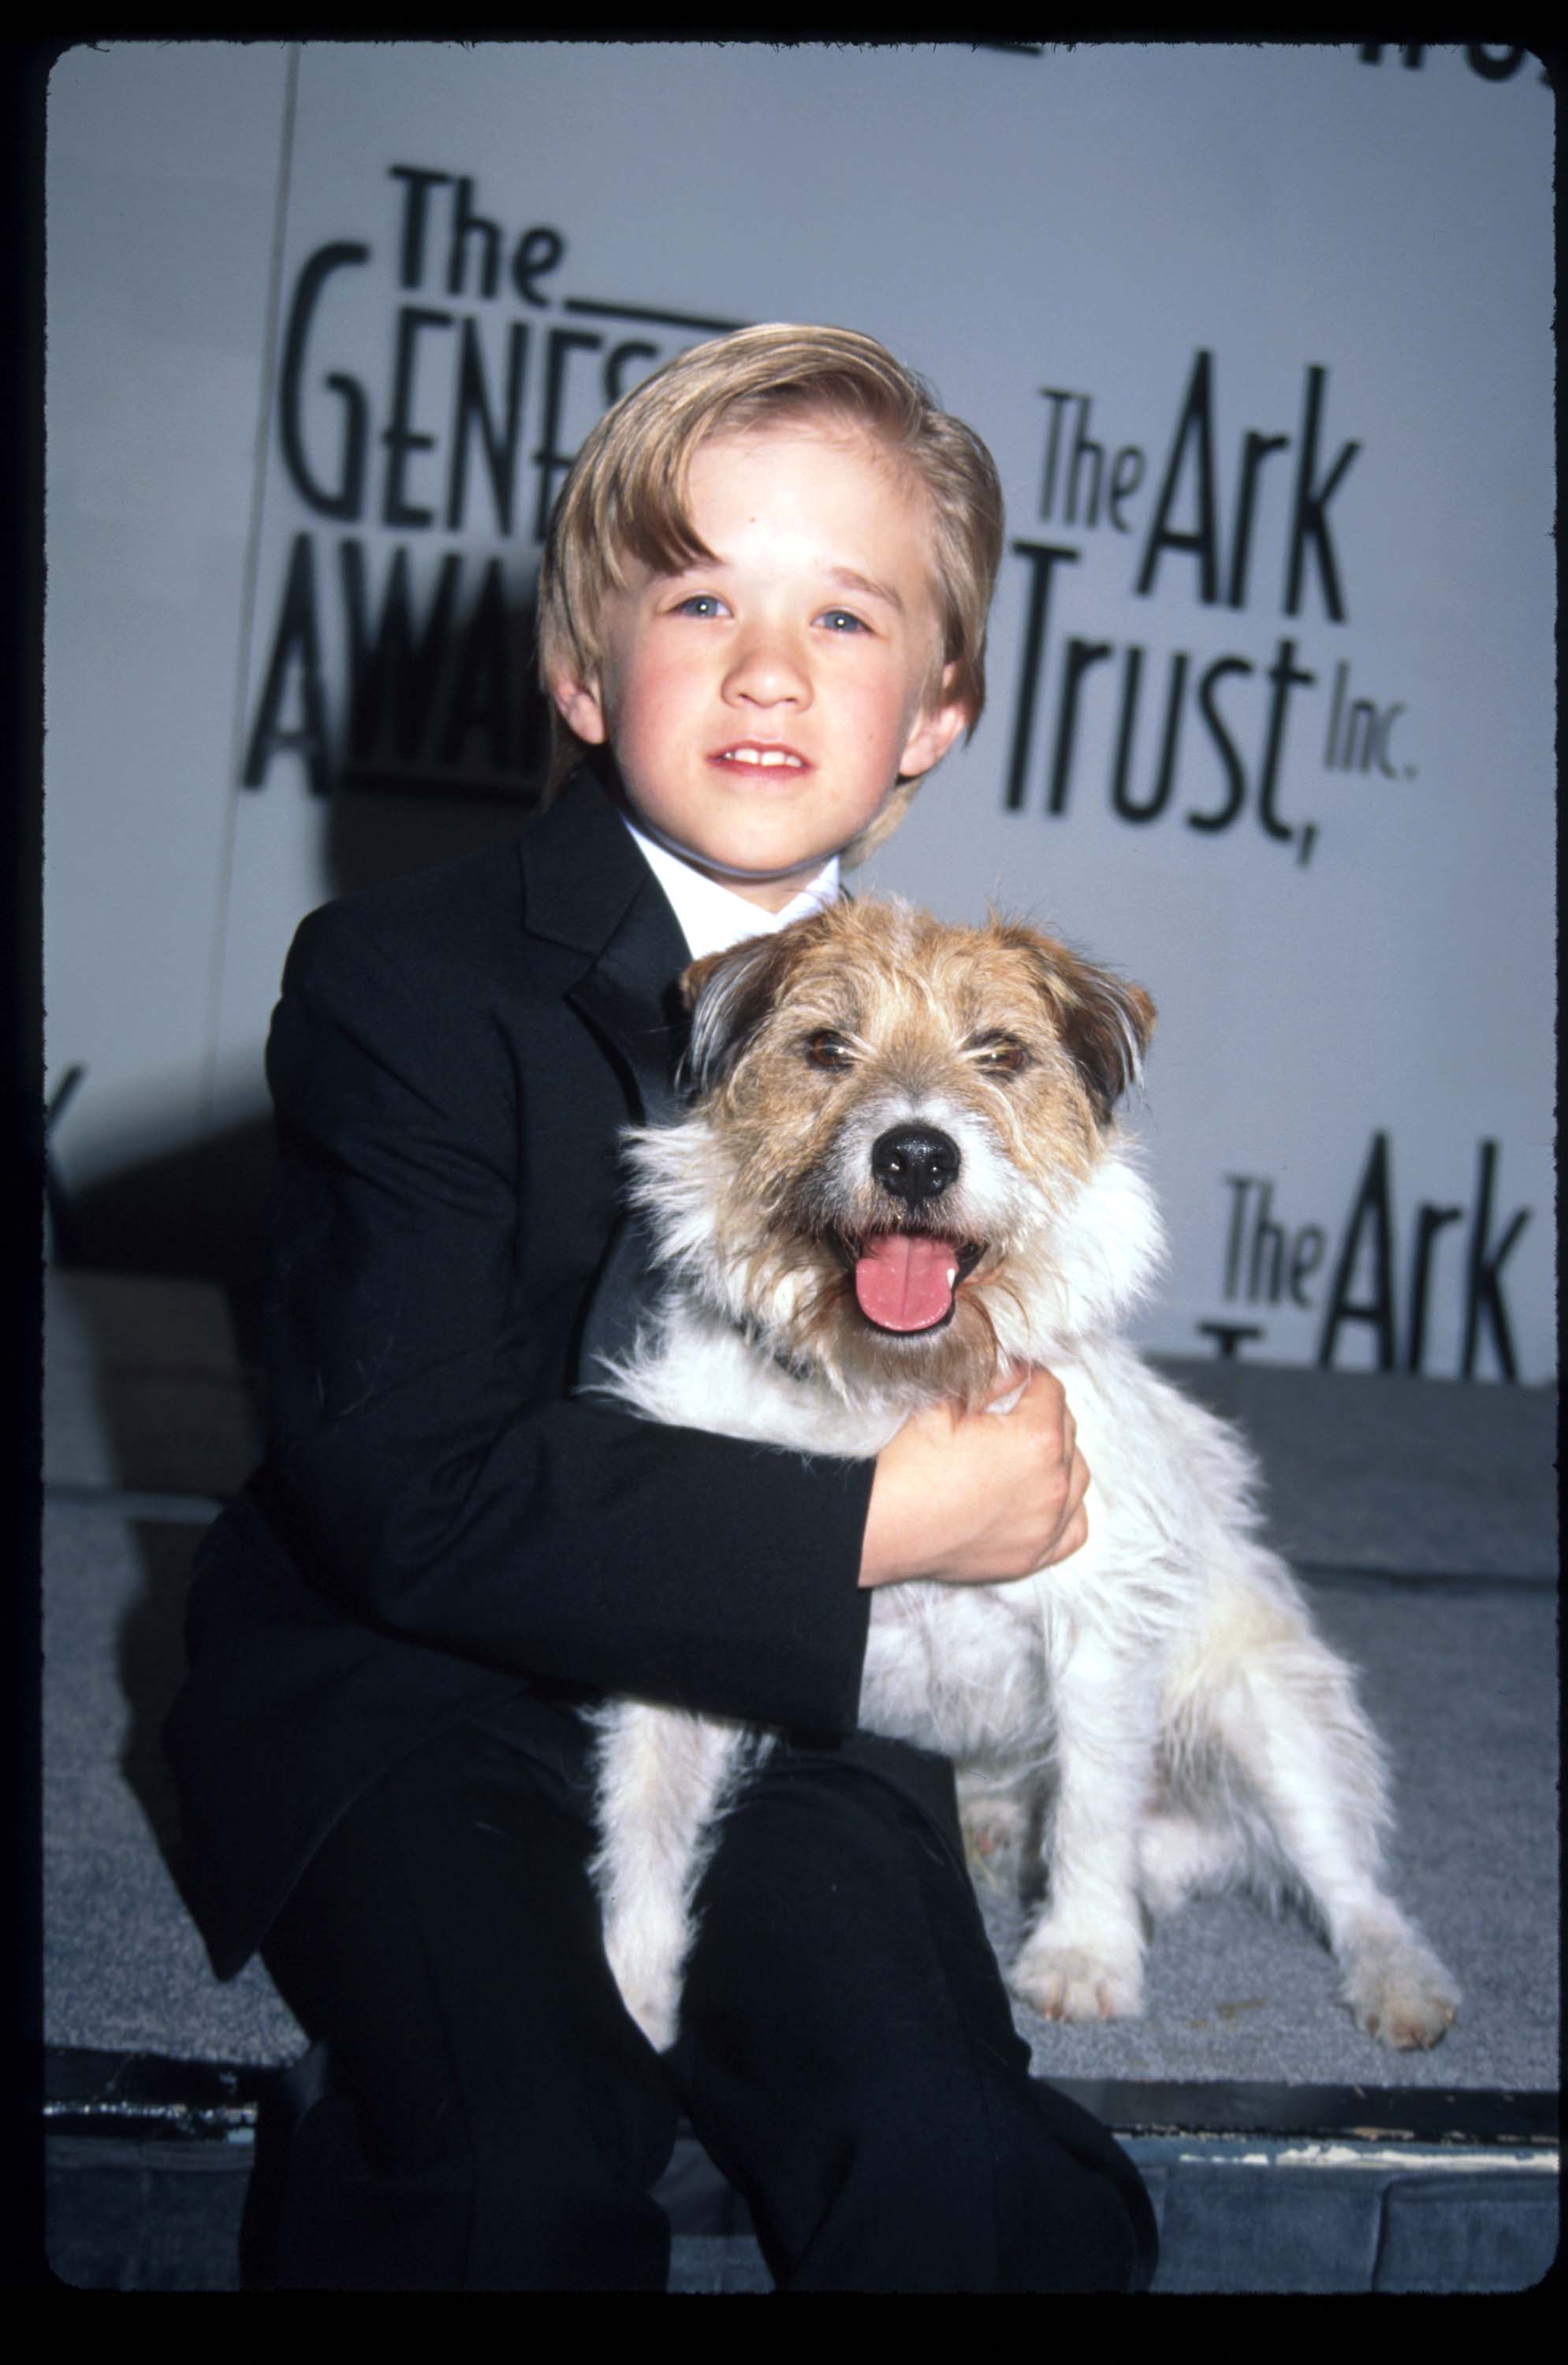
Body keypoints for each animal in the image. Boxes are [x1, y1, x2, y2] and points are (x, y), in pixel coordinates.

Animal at [587, 894, 1457, 2062]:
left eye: (999, 1053)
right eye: (826, 1048)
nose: (915, 1157)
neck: (888, 1396)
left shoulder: (1101, 1626)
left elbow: (1092, 1804)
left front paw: (1082, 1957)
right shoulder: (691, 1642)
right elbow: (643, 1823)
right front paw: (627, 1990)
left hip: (1268, 1717)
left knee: (1348, 1882)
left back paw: (1396, 1980)